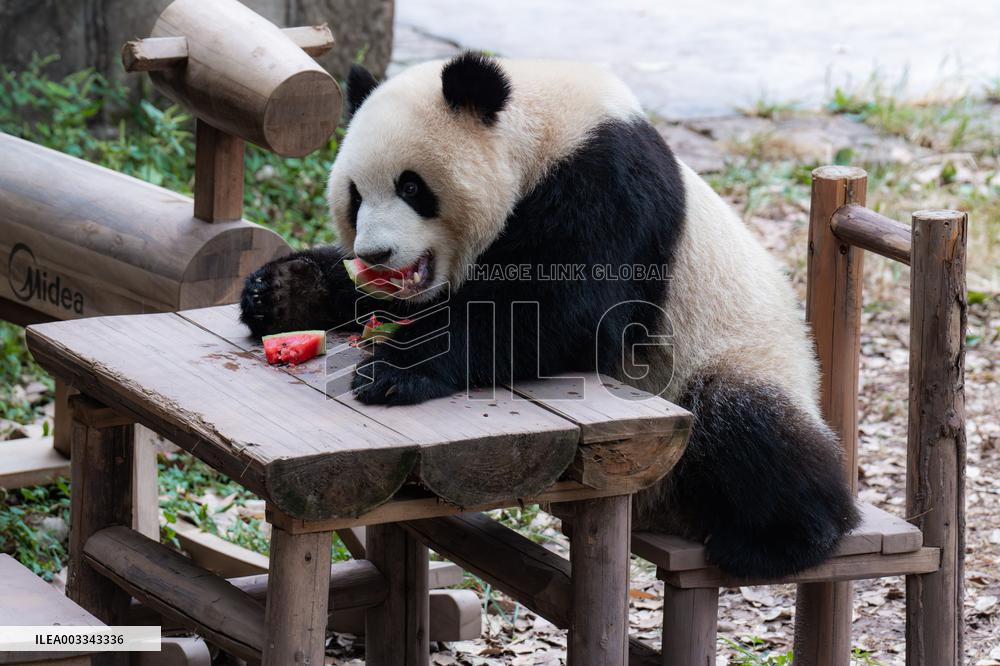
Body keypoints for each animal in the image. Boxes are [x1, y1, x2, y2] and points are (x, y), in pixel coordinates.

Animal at [240, 52, 858, 578]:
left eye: (411, 186)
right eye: (355, 195)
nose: (376, 253)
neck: (541, 132)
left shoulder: (607, 183)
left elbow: (566, 313)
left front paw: (396, 370)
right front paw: (279, 291)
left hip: (731, 360)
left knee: (748, 421)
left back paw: (781, 539)